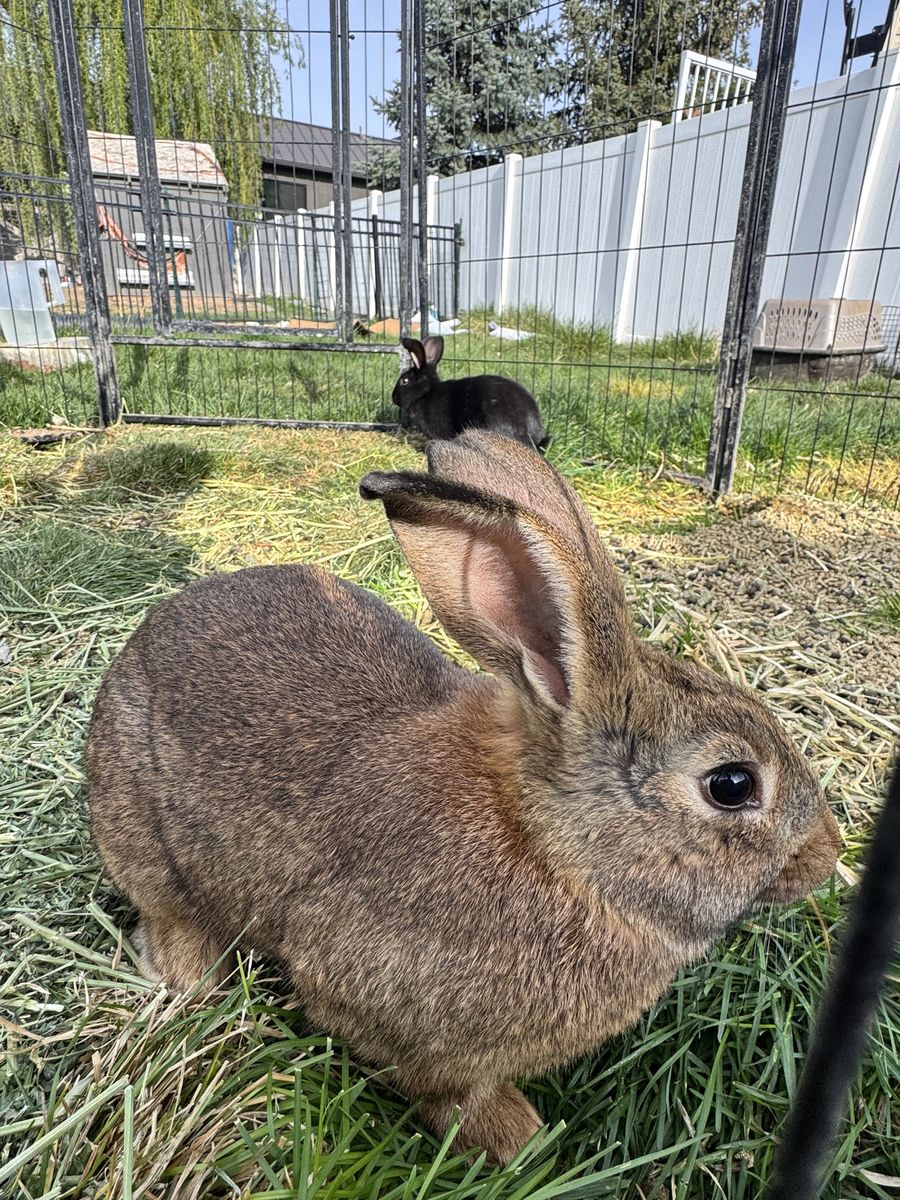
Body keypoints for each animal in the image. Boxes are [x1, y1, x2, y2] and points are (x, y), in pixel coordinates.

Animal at [86, 430, 841, 1165]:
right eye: (733, 784)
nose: (827, 855)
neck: (550, 847)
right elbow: (445, 1090)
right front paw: (519, 1140)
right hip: (143, 839)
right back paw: (192, 977)